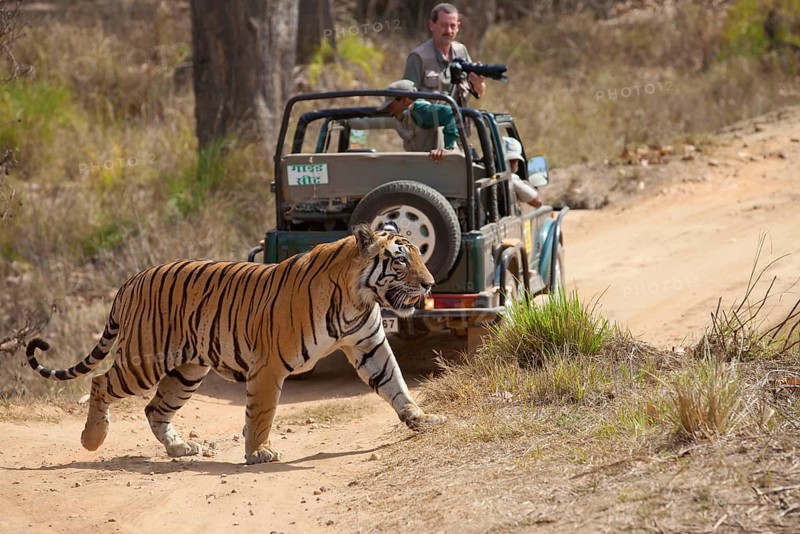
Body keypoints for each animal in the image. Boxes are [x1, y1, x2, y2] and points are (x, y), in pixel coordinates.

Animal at [26, 224, 445, 465]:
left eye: (419, 256)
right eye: (400, 261)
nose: (429, 284)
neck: (358, 298)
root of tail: (132, 279)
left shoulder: (369, 346)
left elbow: (396, 385)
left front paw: (421, 418)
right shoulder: (270, 364)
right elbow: (261, 411)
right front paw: (259, 452)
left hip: (187, 370)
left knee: (154, 409)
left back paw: (179, 449)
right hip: (143, 360)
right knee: (100, 382)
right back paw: (92, 440)